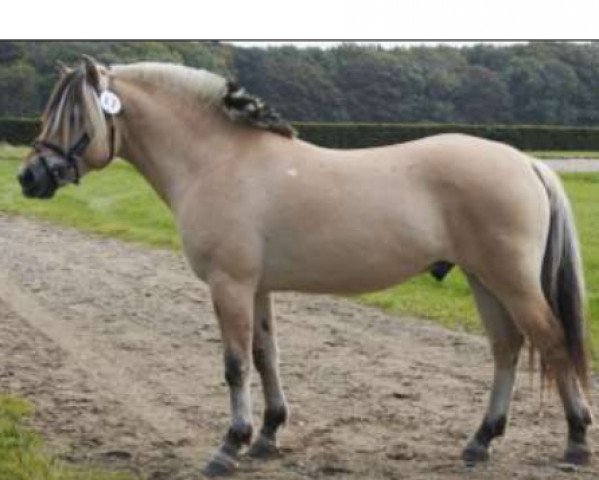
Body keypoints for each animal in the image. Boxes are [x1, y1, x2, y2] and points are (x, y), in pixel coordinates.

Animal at [18, 56, 596, 476]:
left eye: (76, 115)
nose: (29, 177)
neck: (218, 161)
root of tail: (525, 161)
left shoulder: (229, 286)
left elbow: (235, 365)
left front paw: (229, 446)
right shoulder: (256, 288)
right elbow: (265, 355)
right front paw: (268, 436)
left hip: (510, 280)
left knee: (551, 341)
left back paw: (575, 442)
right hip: (483, 279)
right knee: (507, 348)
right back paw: (480, 441)